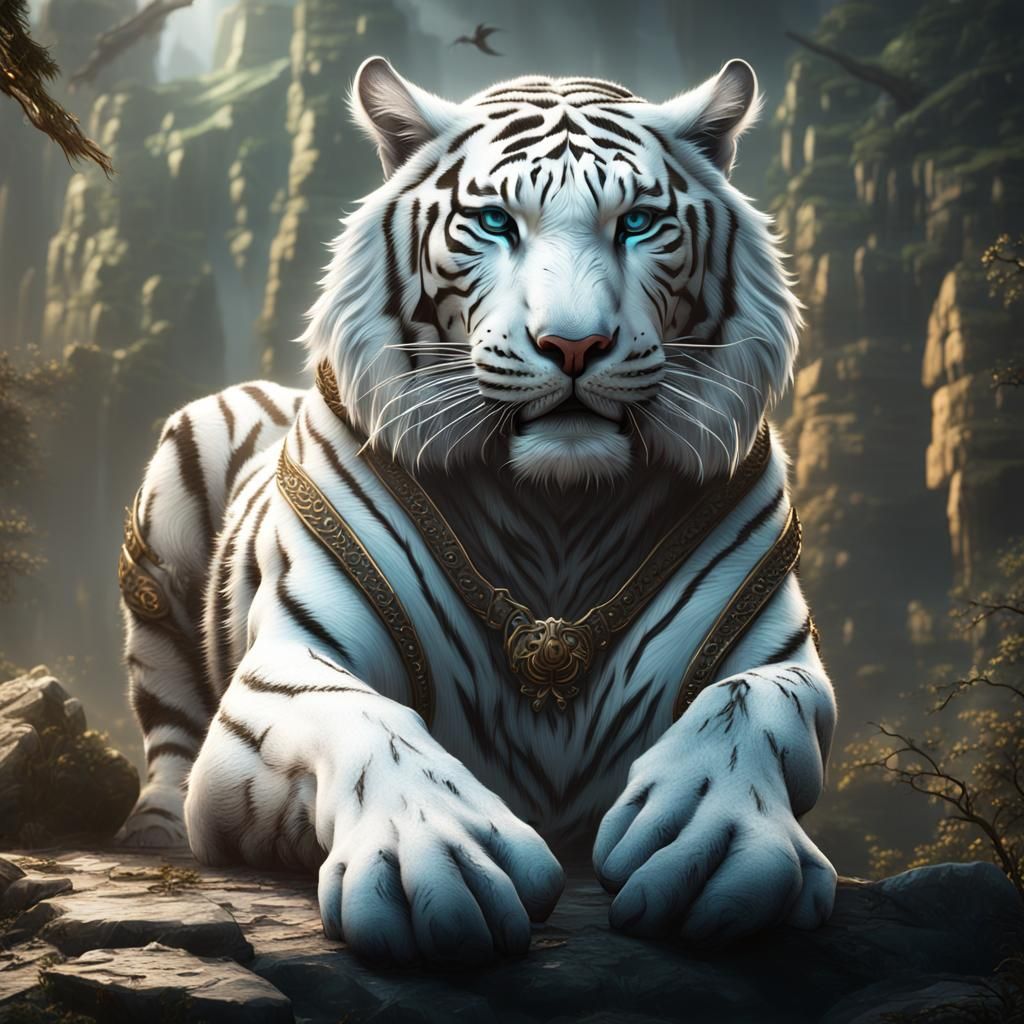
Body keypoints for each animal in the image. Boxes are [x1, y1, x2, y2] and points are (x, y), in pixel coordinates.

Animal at [115, 56, 838, 965]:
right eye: (495, 222)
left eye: (638, 223)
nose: (574, 345)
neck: (559, 512)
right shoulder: (287, 669)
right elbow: (368, 720)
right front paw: (434, 857)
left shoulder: (776, 652)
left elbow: (748, 708)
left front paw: (715, 842)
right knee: (170, 725)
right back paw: (153, 831)